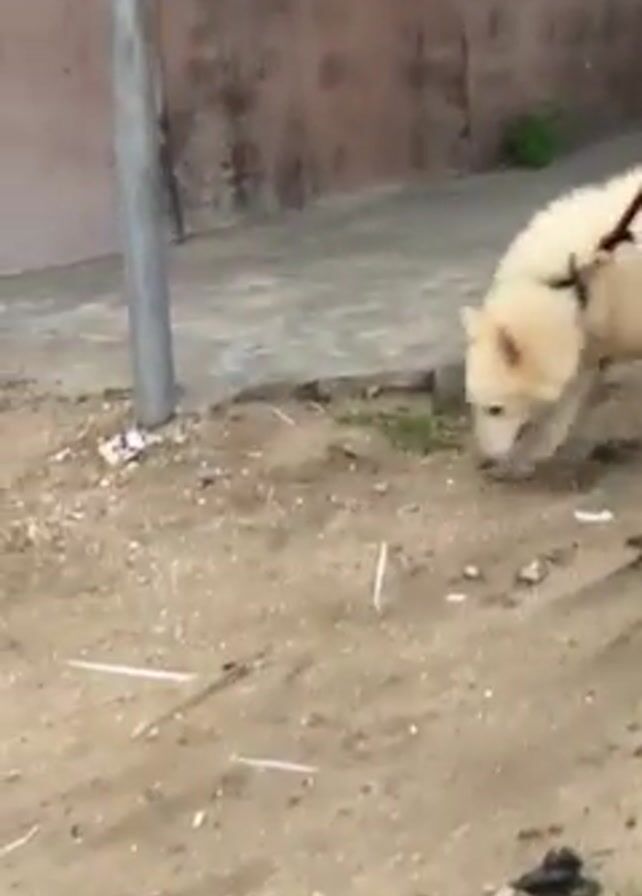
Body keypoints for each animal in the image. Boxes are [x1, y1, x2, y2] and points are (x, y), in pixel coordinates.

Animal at [460, 164, 642, 478]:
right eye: (474, 404)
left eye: (496, 409)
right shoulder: (585, 342)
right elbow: (563, 405)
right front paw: (524, 459)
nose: (488, 459)